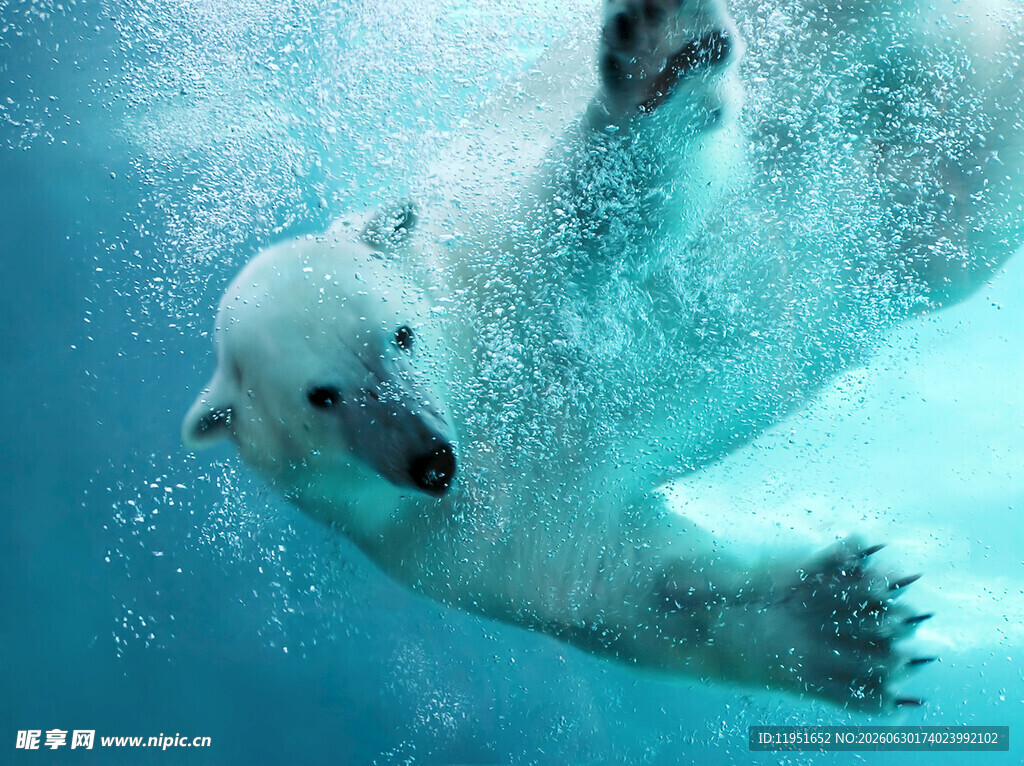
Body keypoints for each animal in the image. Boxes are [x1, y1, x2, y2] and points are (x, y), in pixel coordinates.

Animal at [182, 0, 1022, 711]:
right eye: (321, 397)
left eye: (400, 334)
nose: (432, 460)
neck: (481, 387)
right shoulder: (460, 542)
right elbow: (631, 589)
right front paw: (847, 624)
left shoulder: (507, 254)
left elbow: (608, 200)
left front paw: (661, 56)